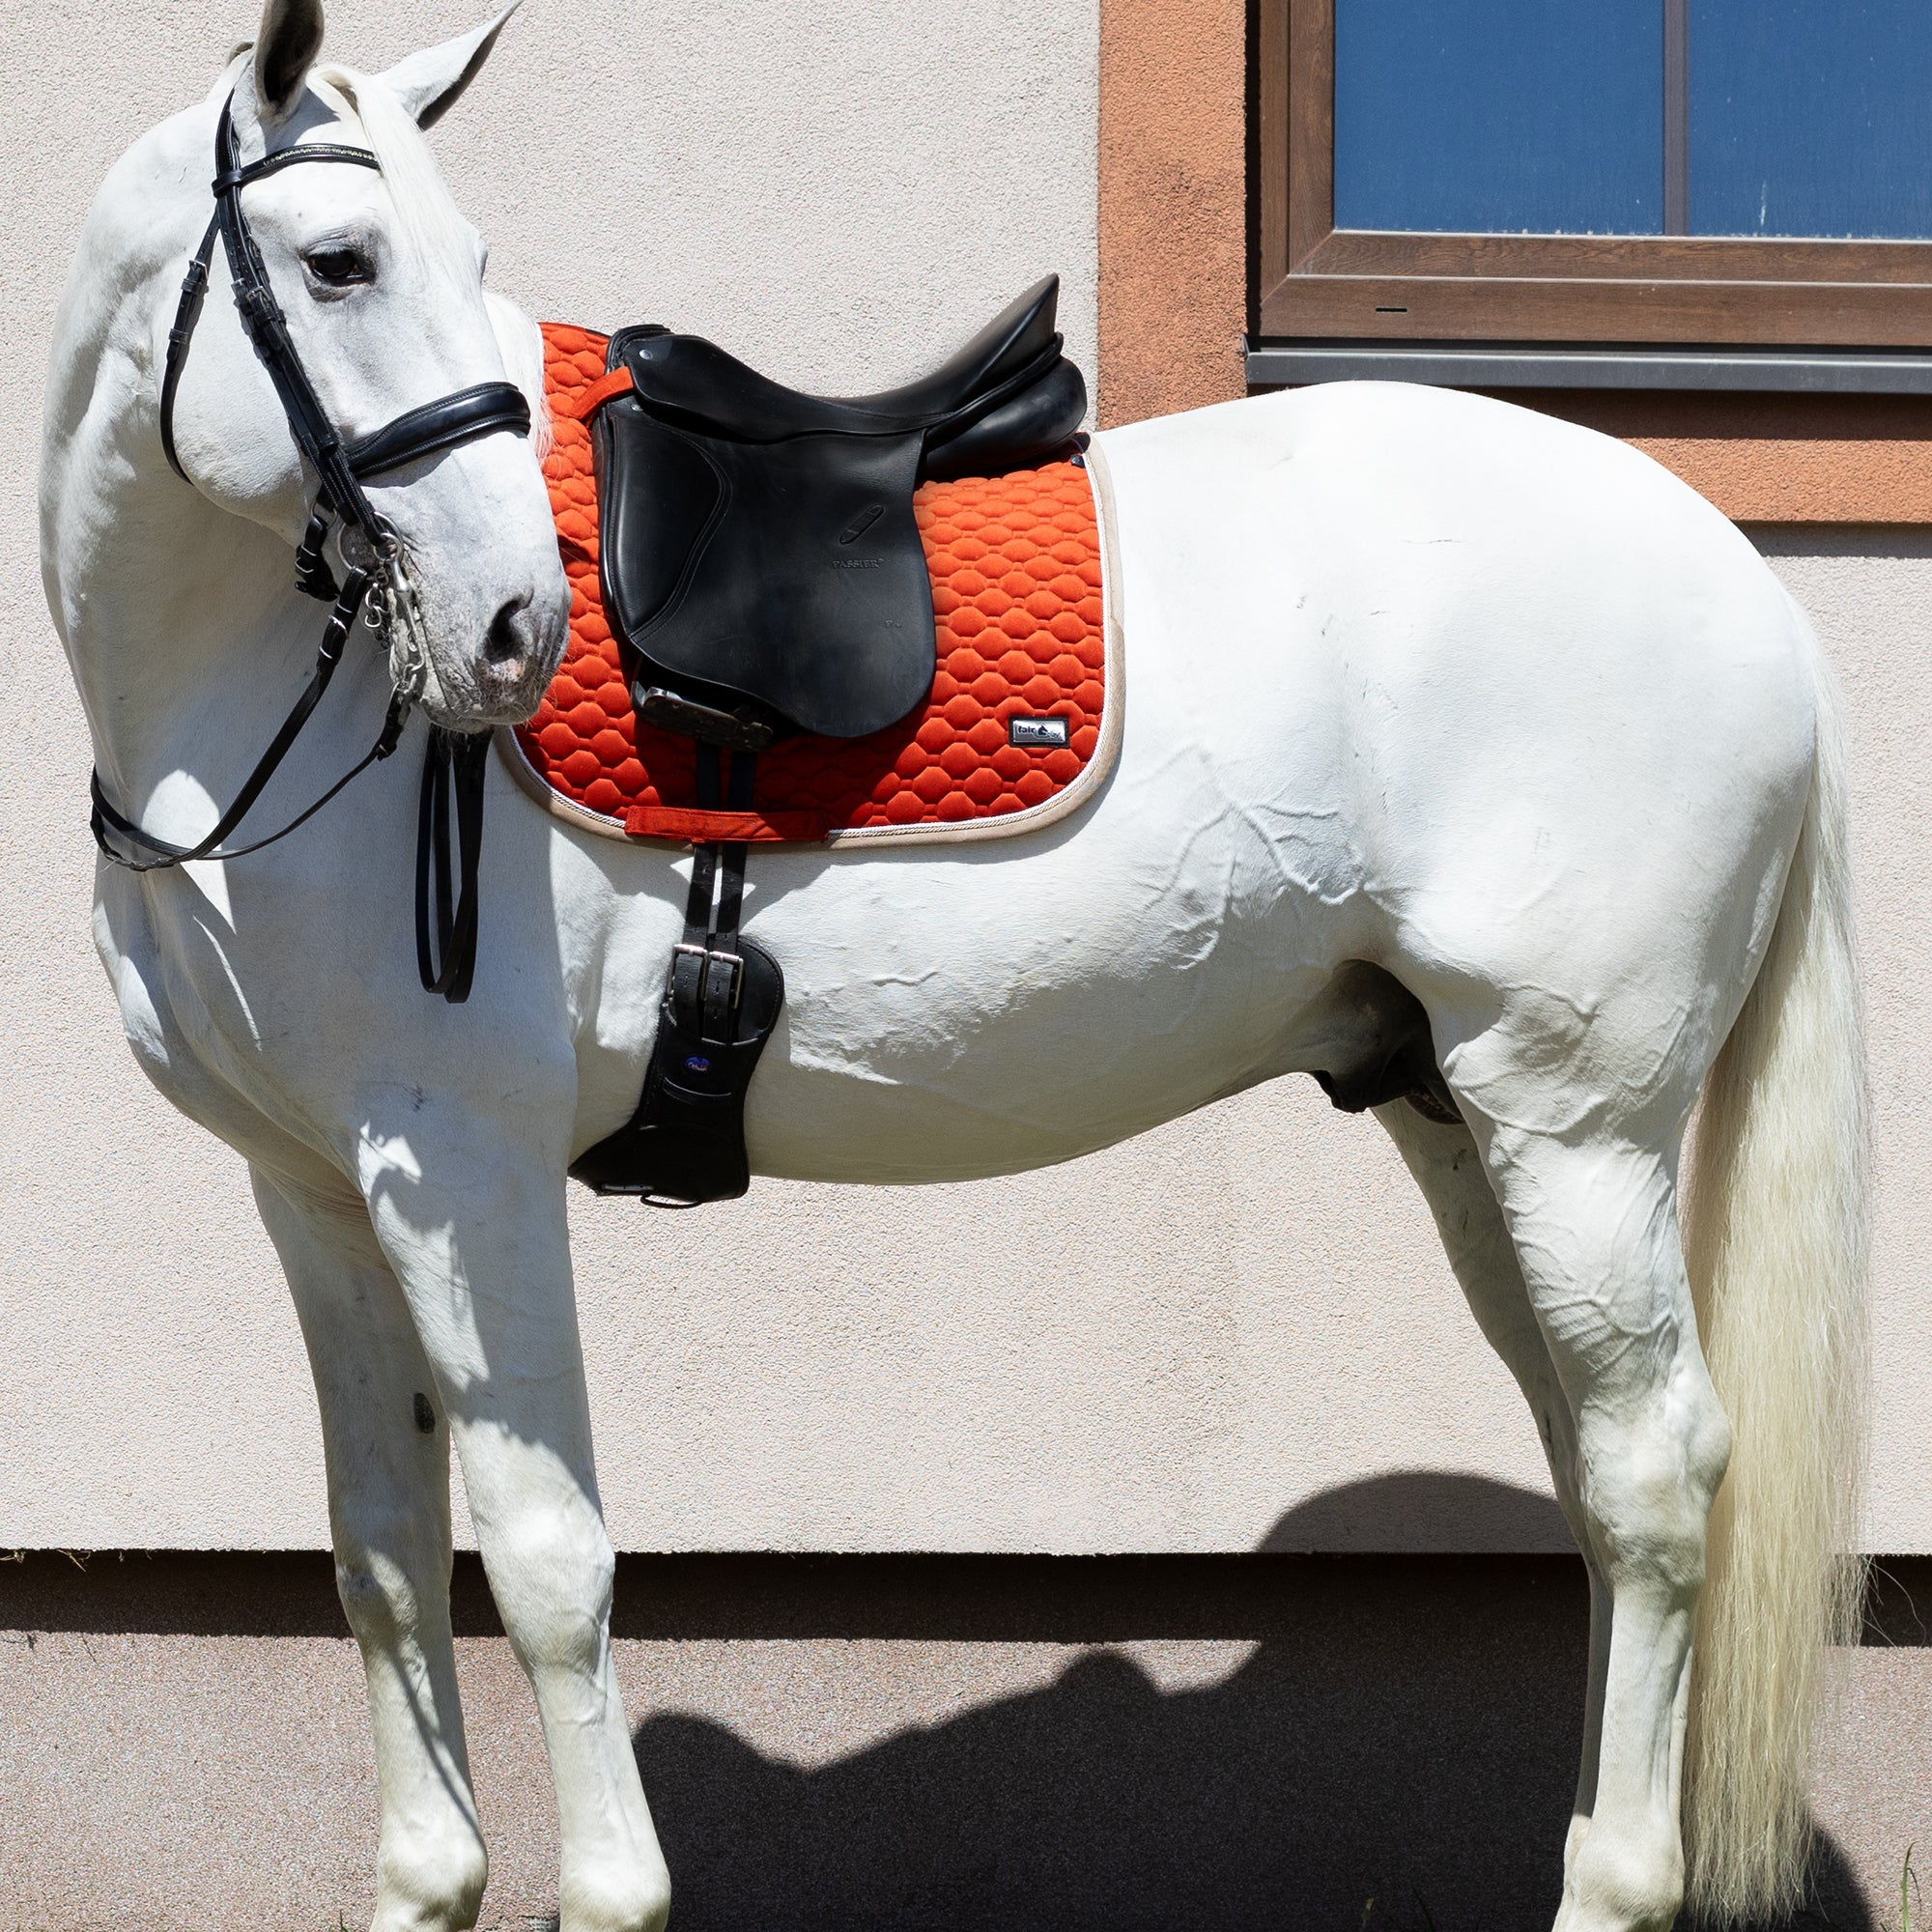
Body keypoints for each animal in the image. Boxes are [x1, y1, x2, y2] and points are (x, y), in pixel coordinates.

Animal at [42, 3, 1870, 1932]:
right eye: (341, 261)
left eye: (453, 260)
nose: (510, 627)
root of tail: (1743, 579)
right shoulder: (318, 1191)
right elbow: (381, 1552)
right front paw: (426, 1874)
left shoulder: (464, 1169)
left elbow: (545, 1558)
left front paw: (607, 1889)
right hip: (1457, 1111)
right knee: (1597, 1471)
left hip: (1576, 1120)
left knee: (1658, 1468)